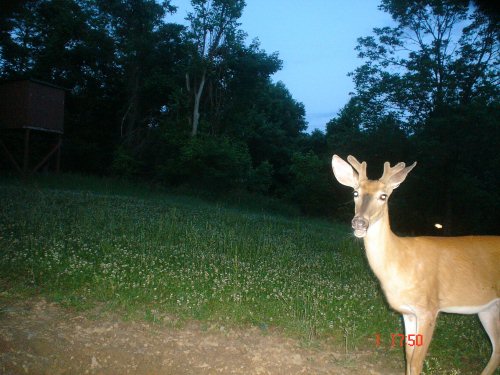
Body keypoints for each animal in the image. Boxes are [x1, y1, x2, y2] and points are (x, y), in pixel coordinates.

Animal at [330, 154, 498, 374]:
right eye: (355, 192)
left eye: (383, 196)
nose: (359, 223)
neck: (401, 261)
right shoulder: (408, 312)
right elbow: (408, 356)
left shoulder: (429, 308)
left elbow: (417, 361)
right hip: (488, 309)